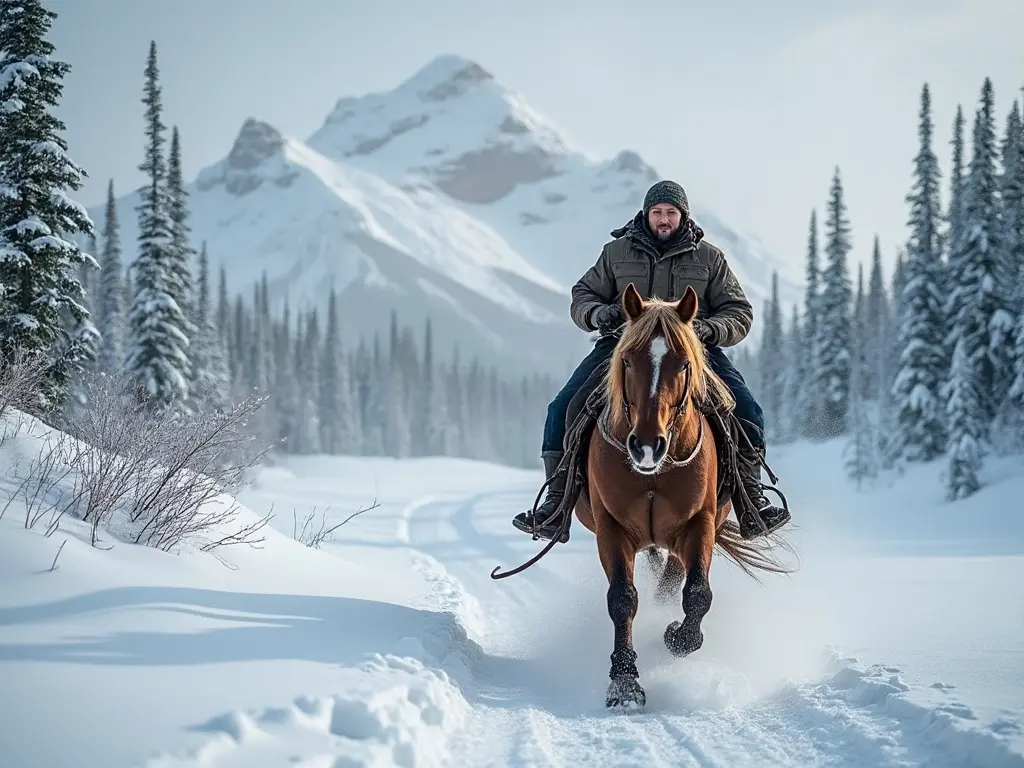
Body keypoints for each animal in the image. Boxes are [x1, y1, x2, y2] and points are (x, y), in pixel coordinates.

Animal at [569, 282, 790, 708]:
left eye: (685, 363)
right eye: (628, 361)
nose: (646, 445)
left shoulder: (699, 524)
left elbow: (698, 594)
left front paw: (677, 637)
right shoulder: (611, 527)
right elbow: (622, 599)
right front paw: (625, 684)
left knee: (672, 580)